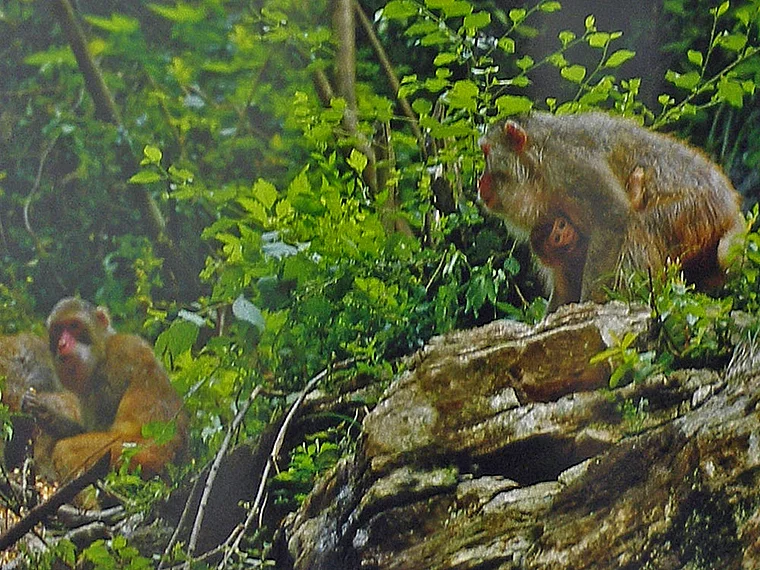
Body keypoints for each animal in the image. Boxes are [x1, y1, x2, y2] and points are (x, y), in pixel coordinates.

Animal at [25, 298, 188, 481]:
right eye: (58, 330)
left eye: (74, 326)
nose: (62, 344)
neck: (102, 352)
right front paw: (47, 413)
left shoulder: (118, 364)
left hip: (142, 457)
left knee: (66, 448)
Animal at [478, 111, 744, 311]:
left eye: (486, 152)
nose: (481, 182)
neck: (537, 167)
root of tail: (730, 204)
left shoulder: (570, 164)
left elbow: (612, 215)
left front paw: (590, 304)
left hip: (695, 212)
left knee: (638, 226)